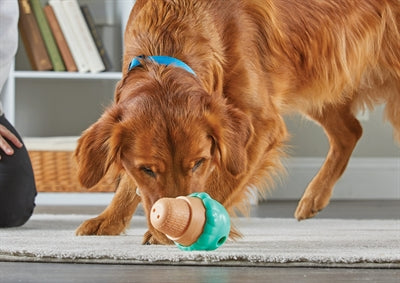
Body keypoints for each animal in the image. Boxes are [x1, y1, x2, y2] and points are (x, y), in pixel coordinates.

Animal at [75, 0, 400, 244]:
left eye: (199, 162)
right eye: (147, 169)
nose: (171, 234)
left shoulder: (260, 124)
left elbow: (223, 181)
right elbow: (129, 184)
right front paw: (109, 220)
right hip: (317, 75)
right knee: (350, 131)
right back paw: (314, 197)